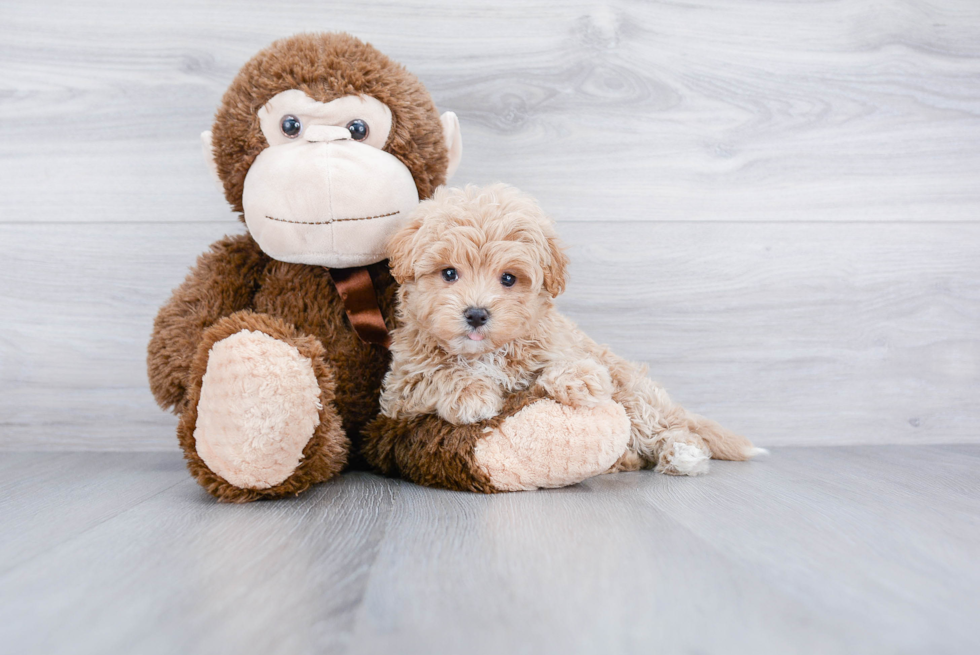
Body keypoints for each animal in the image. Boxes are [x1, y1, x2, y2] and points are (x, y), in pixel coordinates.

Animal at [382, 184, 764, 476]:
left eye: (509, 278)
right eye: (449, 273)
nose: (476, 314)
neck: (485, 354)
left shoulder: (556, 346)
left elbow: (561, 364)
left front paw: (578, 379)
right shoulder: (400, 392)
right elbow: (436, 373)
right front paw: (470, 394)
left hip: (634, 393)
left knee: (663, 427)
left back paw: (683, 453)